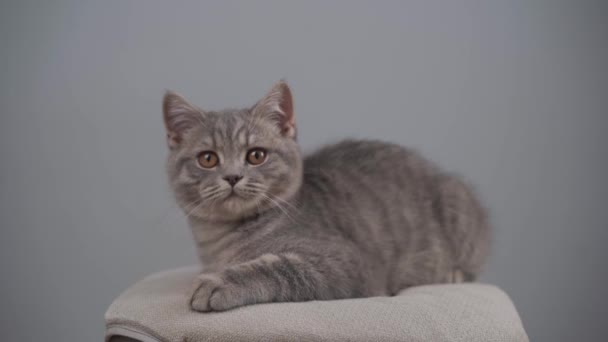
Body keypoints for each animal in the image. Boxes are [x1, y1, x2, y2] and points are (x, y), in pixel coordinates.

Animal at [162, 81, 490, 312]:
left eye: (256, 155)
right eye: (207, 159)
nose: (232, 176)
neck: (222, 242)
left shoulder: (348, 262)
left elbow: (279, 267)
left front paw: (218, 283)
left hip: (457, 202)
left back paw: (452, 274)